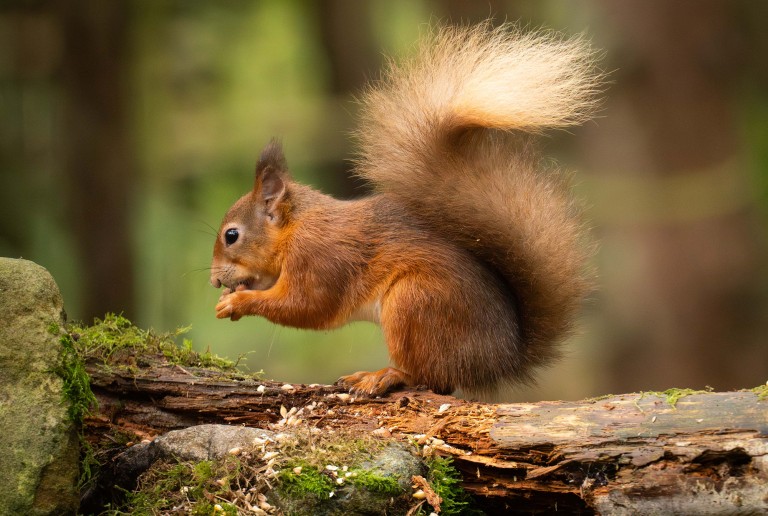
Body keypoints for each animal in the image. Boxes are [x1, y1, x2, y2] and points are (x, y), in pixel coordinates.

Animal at [211, 22, 601, 397]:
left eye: (232, 235)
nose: (214, 280)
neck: (297, 227)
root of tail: (500, 361)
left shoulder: (320, 259)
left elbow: (306, 306)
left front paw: (238, 302)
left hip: (414, 301)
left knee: (430, 377)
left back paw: (382, 376)